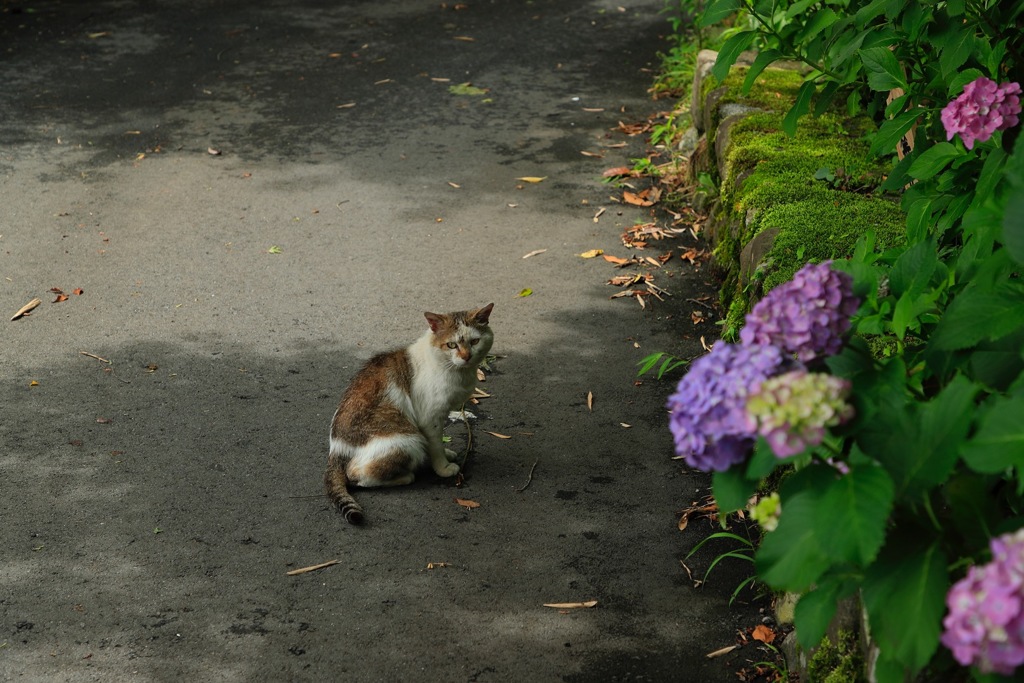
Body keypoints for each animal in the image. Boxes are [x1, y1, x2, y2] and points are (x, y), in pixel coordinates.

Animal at [321, 303, 493, 524]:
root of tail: (336, 451)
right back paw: (405, 477)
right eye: (451, 345)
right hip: (409, 441)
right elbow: (435, 445)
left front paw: (447, 454)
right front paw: (443, 467)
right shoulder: (430, 418)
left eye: (475, 341)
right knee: (356, 475)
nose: (466, 357)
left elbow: (438, 442)